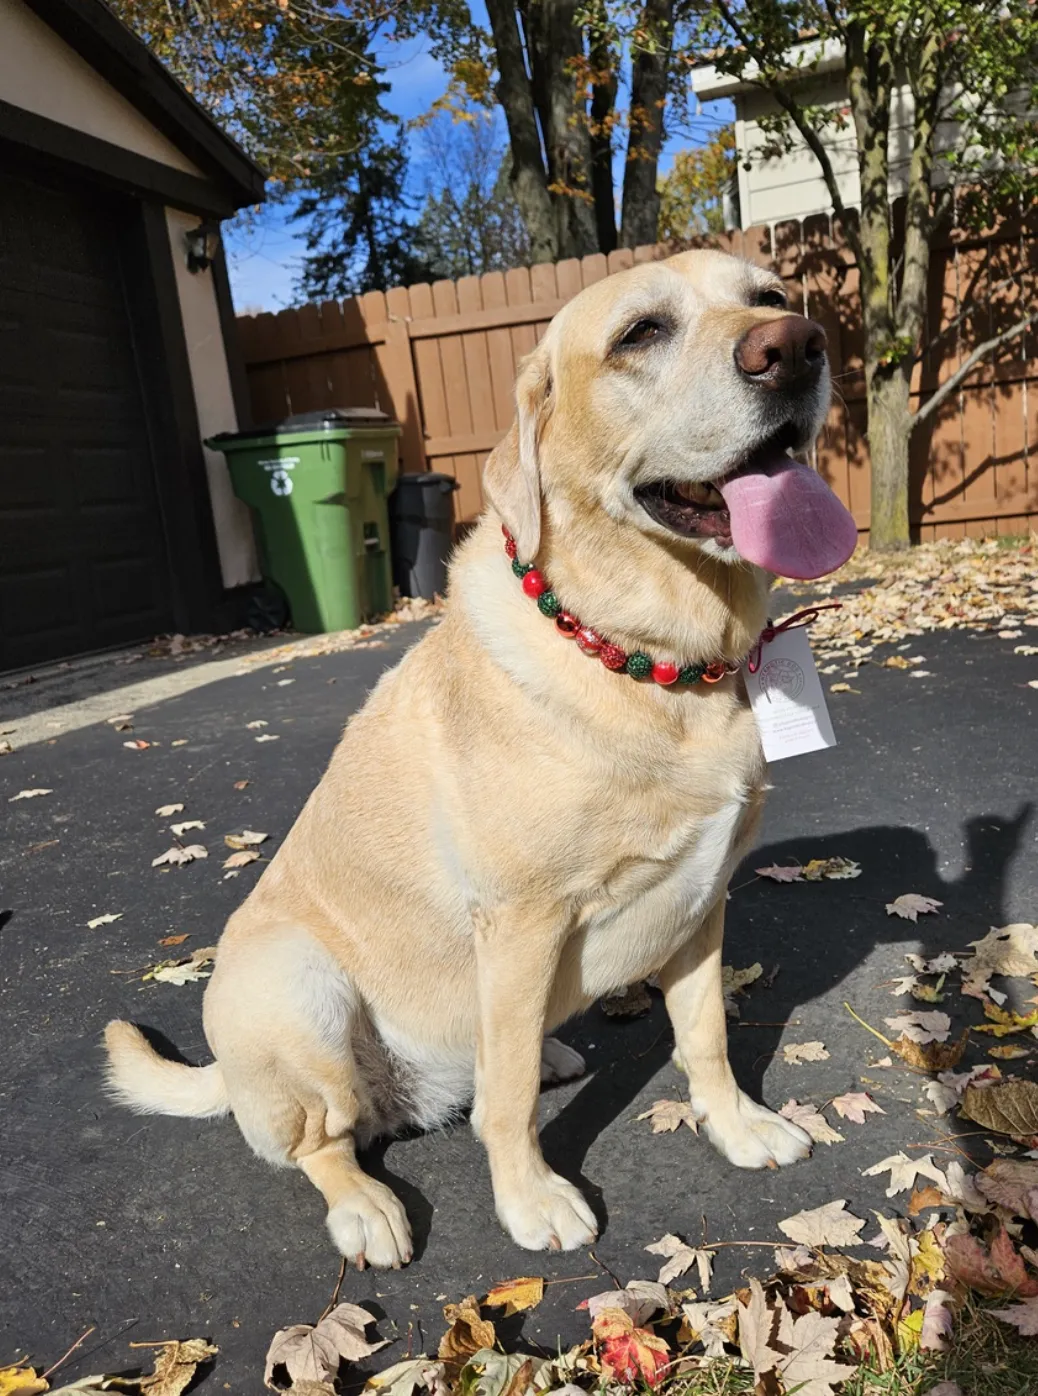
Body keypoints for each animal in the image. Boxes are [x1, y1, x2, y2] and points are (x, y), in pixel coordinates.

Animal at [105, 248, 853, 1267]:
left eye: (769, 296)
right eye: (640, 333)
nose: (797, 347)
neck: (658, 663)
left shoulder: (704, 902)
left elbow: (702, 1036)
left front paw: (736, 1126)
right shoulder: (522, 920)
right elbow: (505, 1101)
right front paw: (529, 1199)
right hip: (296, 986)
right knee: (327, 1142)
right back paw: (366, 1206)